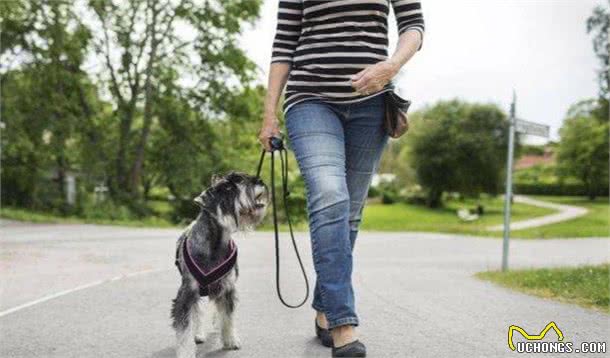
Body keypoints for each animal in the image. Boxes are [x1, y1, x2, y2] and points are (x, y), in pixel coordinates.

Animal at [171, 172, 266, 356]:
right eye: (228, 187)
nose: (260, 181)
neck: (215, 245)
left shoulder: (227, 288)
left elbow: (228, 316)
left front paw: (230, 340)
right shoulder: (187, 293)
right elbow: (185, 327)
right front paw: (186, 352)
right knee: (198, 313)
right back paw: (198, 334)